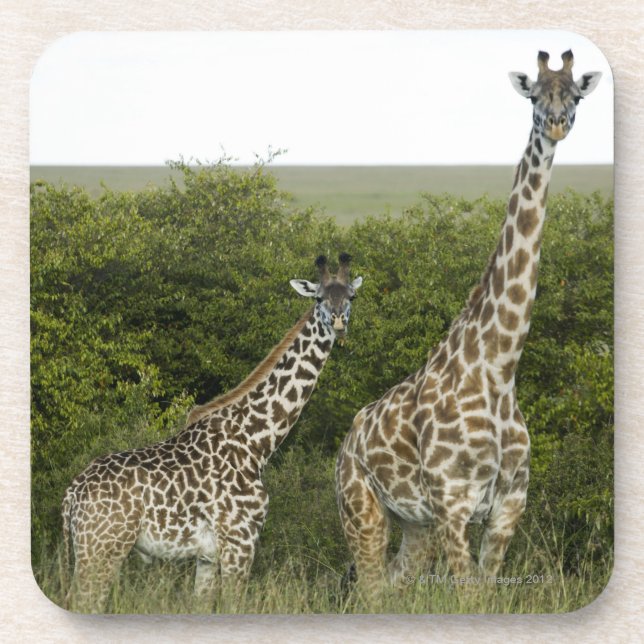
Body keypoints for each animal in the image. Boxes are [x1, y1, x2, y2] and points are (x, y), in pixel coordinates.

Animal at [62, 253, 363, 612]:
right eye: (318, 298)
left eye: (351, 296)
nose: (339, 322)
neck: (257, 441)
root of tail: (72, 495)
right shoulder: (240, 541)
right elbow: (234, 605)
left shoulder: (207, 556)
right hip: (102, 549)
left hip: (89, 550)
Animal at [335, 50, 601, 593]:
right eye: (535, 94)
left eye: (576, 95)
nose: (557, 124)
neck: (499, 369)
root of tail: (347, 443)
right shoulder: (453, 504)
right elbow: (468, 595)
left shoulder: (508, 507)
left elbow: (487, 591)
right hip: (362, 510)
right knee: (369, 587)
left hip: (414, 526)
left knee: (392, 584)